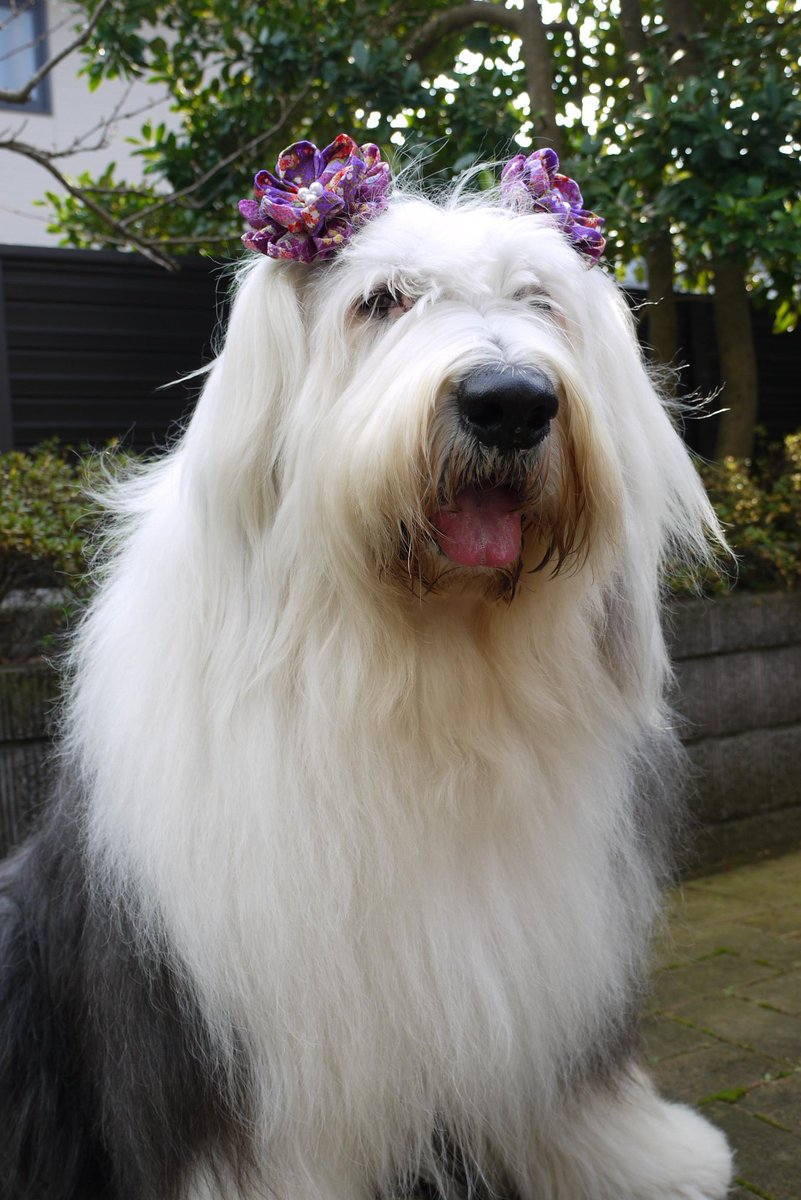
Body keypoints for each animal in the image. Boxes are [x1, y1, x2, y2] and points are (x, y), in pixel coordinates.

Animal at [1, 139, 733, 1200]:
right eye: (381, 300)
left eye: (540, 299)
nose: (510, 402)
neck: (426, 666)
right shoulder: (227, 1030)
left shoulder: (551, 947)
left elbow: (564, 1091)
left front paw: (650, 1159)